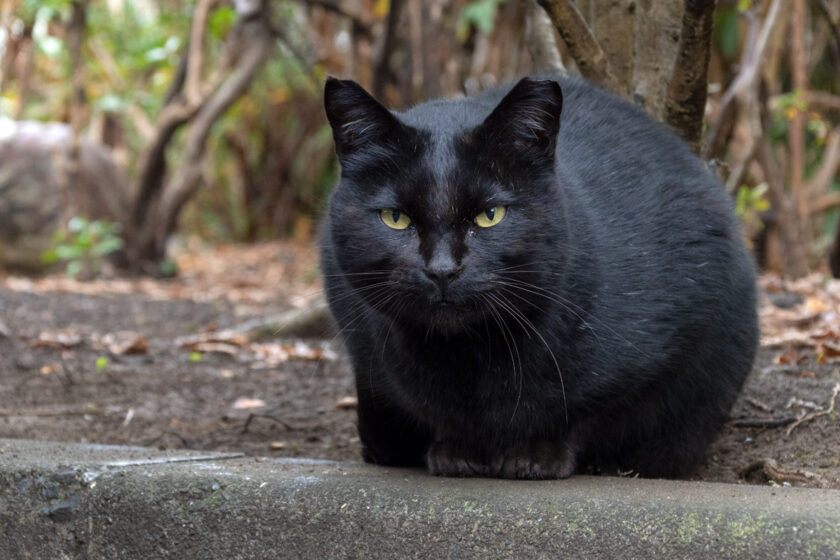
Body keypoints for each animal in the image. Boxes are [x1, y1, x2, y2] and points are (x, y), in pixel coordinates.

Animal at [318, 73, 756, 476]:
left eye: (490, 214)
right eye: (395, 217)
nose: (442, 269)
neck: (465, 358)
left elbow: (591, 411)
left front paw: (534, 453)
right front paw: (456, 449)